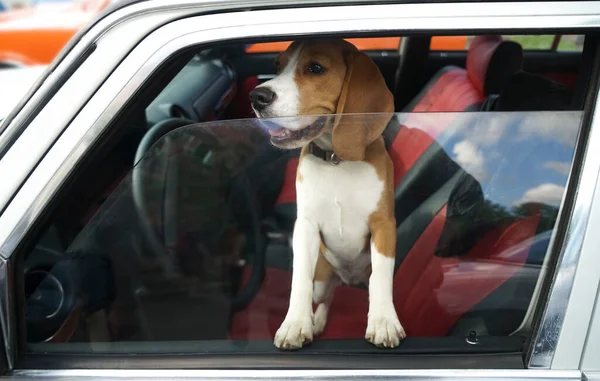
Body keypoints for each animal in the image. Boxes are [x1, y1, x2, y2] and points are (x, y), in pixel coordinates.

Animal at [248, 40, 404, 348]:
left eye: (316, 68)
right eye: (277, 65)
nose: (257, 96)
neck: (336, 160)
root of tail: (347, 278)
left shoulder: (383, 225)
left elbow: (381, 277)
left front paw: (383, 321)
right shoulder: (306, 225)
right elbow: (299, 279)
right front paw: (296, 323)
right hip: (323, 279)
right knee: (325, 298)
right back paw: (316, 319)